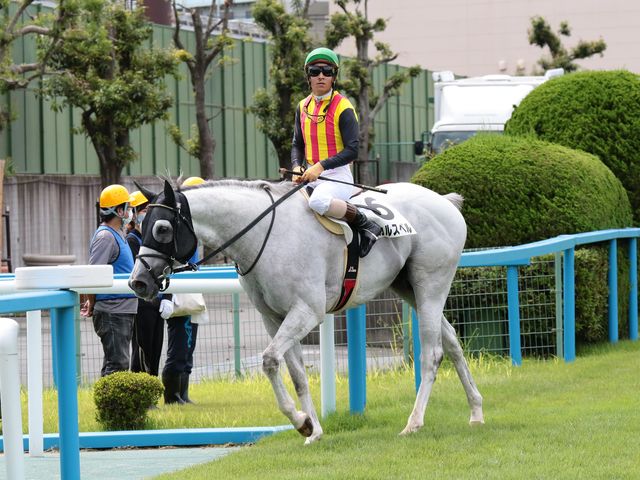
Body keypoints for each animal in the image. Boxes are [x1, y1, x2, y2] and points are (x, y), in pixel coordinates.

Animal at [128, 179, 484, 444]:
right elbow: (297, 374)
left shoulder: (307, 311)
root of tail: (444, 201)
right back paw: (476, 410)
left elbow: (270, 361)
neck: (265, 235)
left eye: (161, 228)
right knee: (452, 342)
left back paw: (414, 422)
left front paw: (300, 421)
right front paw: (313, 428)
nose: (138, 282)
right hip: (409, 288)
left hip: (430, 284)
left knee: (433, 353)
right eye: (140, 227)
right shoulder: (273, 318)